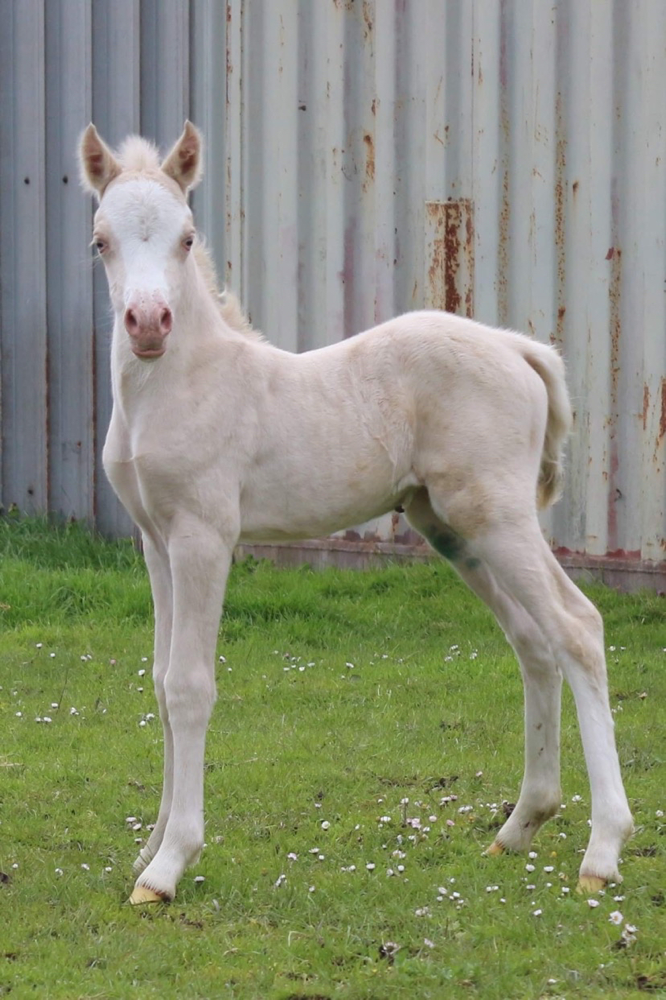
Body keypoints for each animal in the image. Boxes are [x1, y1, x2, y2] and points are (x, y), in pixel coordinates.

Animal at [79, 121, 632, 904]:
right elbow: (158, 682)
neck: (180, 386)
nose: (149, 324)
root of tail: (516, 348)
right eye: (102, 240)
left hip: (496, 516)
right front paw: (149, 848)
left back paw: (603, 850)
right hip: (450, 527)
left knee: (577, 629)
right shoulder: (155, 541)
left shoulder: (203, 537)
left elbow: (188, 686)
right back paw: (519, 826)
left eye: (186, 237)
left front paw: (169, 865)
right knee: (534, 642)